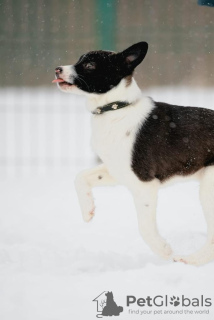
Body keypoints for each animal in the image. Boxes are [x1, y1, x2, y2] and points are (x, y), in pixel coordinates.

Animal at [52, 41, 214, 264]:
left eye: (89, 65)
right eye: (79, 60)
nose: (57, 69)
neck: (115, 109)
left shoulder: (144, 184)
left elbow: (144, 228)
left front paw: (164, 250)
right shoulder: (117, 170)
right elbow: (80, 177)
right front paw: (88, 210)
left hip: (209, 189)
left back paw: (191, 261)